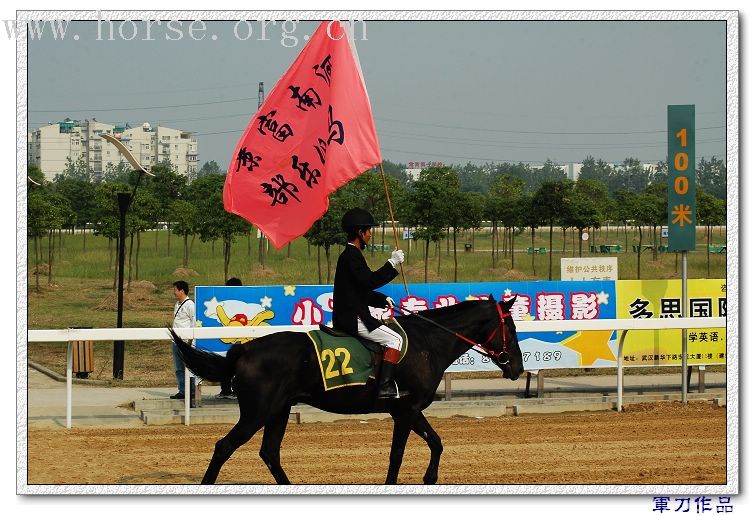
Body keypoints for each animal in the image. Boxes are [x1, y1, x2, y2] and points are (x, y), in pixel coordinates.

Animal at [170, 296, 524, 486]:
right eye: (511, 327)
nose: (518, 368)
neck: (428, 343)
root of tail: (244, 349)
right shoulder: (406, 410)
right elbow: (398, 455)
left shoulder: (407, 410)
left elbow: (435, 443)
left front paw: (429, 478)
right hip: (258, 412)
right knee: (225, 446)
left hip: (278, 410)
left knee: (269, 452)